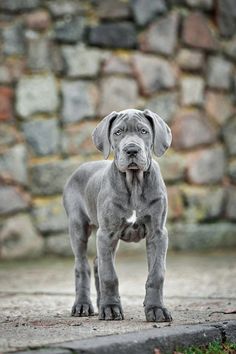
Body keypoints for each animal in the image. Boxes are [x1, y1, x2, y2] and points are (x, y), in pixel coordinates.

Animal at [63, 109, 172, 322]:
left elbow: (157, 274)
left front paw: (156, 308)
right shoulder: (107, 233)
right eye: (118, 132)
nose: (132, 150)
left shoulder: (157, 234)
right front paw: (112, 308)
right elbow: (109, 275)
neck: (135, 182)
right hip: (78, 226)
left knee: (98, 263)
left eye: (144, 131)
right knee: (82, 266)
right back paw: (83, 305)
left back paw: (100, 304)